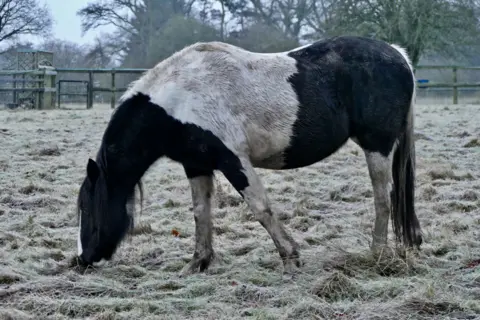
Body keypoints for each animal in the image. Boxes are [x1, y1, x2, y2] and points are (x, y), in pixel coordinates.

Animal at [76, 35, 424, 276]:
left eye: (88, 208)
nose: (82, 259)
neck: (179, 98)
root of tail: (399, 55)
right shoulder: (197, 165)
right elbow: (201, 213)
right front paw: (197, 263)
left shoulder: (234, 160)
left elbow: (261, 208)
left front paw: (290, 258)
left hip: (377, 147)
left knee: (383, 198)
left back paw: (376, 254)